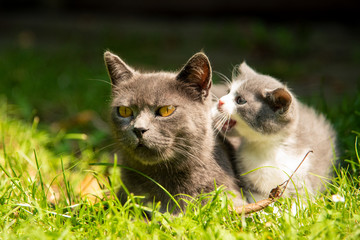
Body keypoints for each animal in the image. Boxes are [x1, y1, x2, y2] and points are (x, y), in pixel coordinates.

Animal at [214, 62, 338, 202]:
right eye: (228, 91)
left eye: (240, 100)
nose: (220, 101)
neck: (266, 150)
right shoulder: (250, 183)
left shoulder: (302, 174)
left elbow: (301, 200)